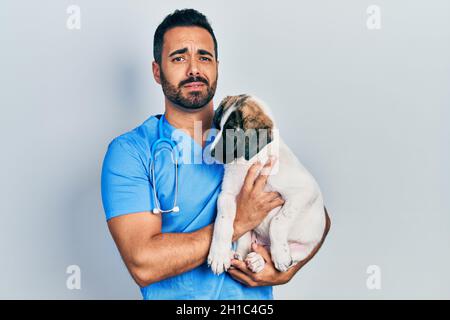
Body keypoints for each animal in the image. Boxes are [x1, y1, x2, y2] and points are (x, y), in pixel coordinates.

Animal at [206, 94, 326, 274]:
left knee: (279, 253)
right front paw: (219, 254)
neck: (250, 162)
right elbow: (222, 220)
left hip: (303, 249)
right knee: (247, 242)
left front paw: (280, 255)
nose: (211, 153)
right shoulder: (227, 194)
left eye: (232, 131)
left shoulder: (304, 192)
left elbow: (278, 221)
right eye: (217, 126)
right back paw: (241, 256)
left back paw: (260, 260)